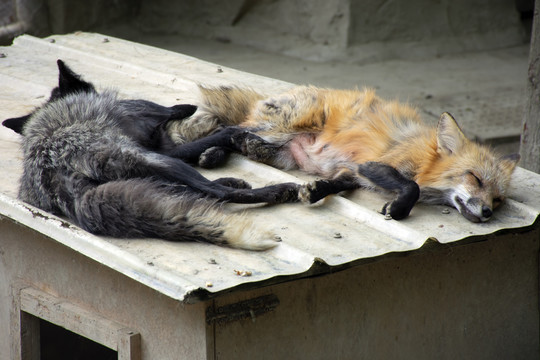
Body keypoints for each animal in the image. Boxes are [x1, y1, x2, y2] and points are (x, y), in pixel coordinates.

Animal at [171, 86, 520, 222]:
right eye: (474, 178)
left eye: (498, 199)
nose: (487, 213)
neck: (425, 157)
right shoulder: (375, 164)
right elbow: (411, 186)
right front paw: (399, 209)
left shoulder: (353, 171)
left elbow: (336, 184)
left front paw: (315, 191)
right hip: (277, 129)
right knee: (228, 129)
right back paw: (199, 152)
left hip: (283, 153)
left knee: (239, 140)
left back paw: (216, 155)